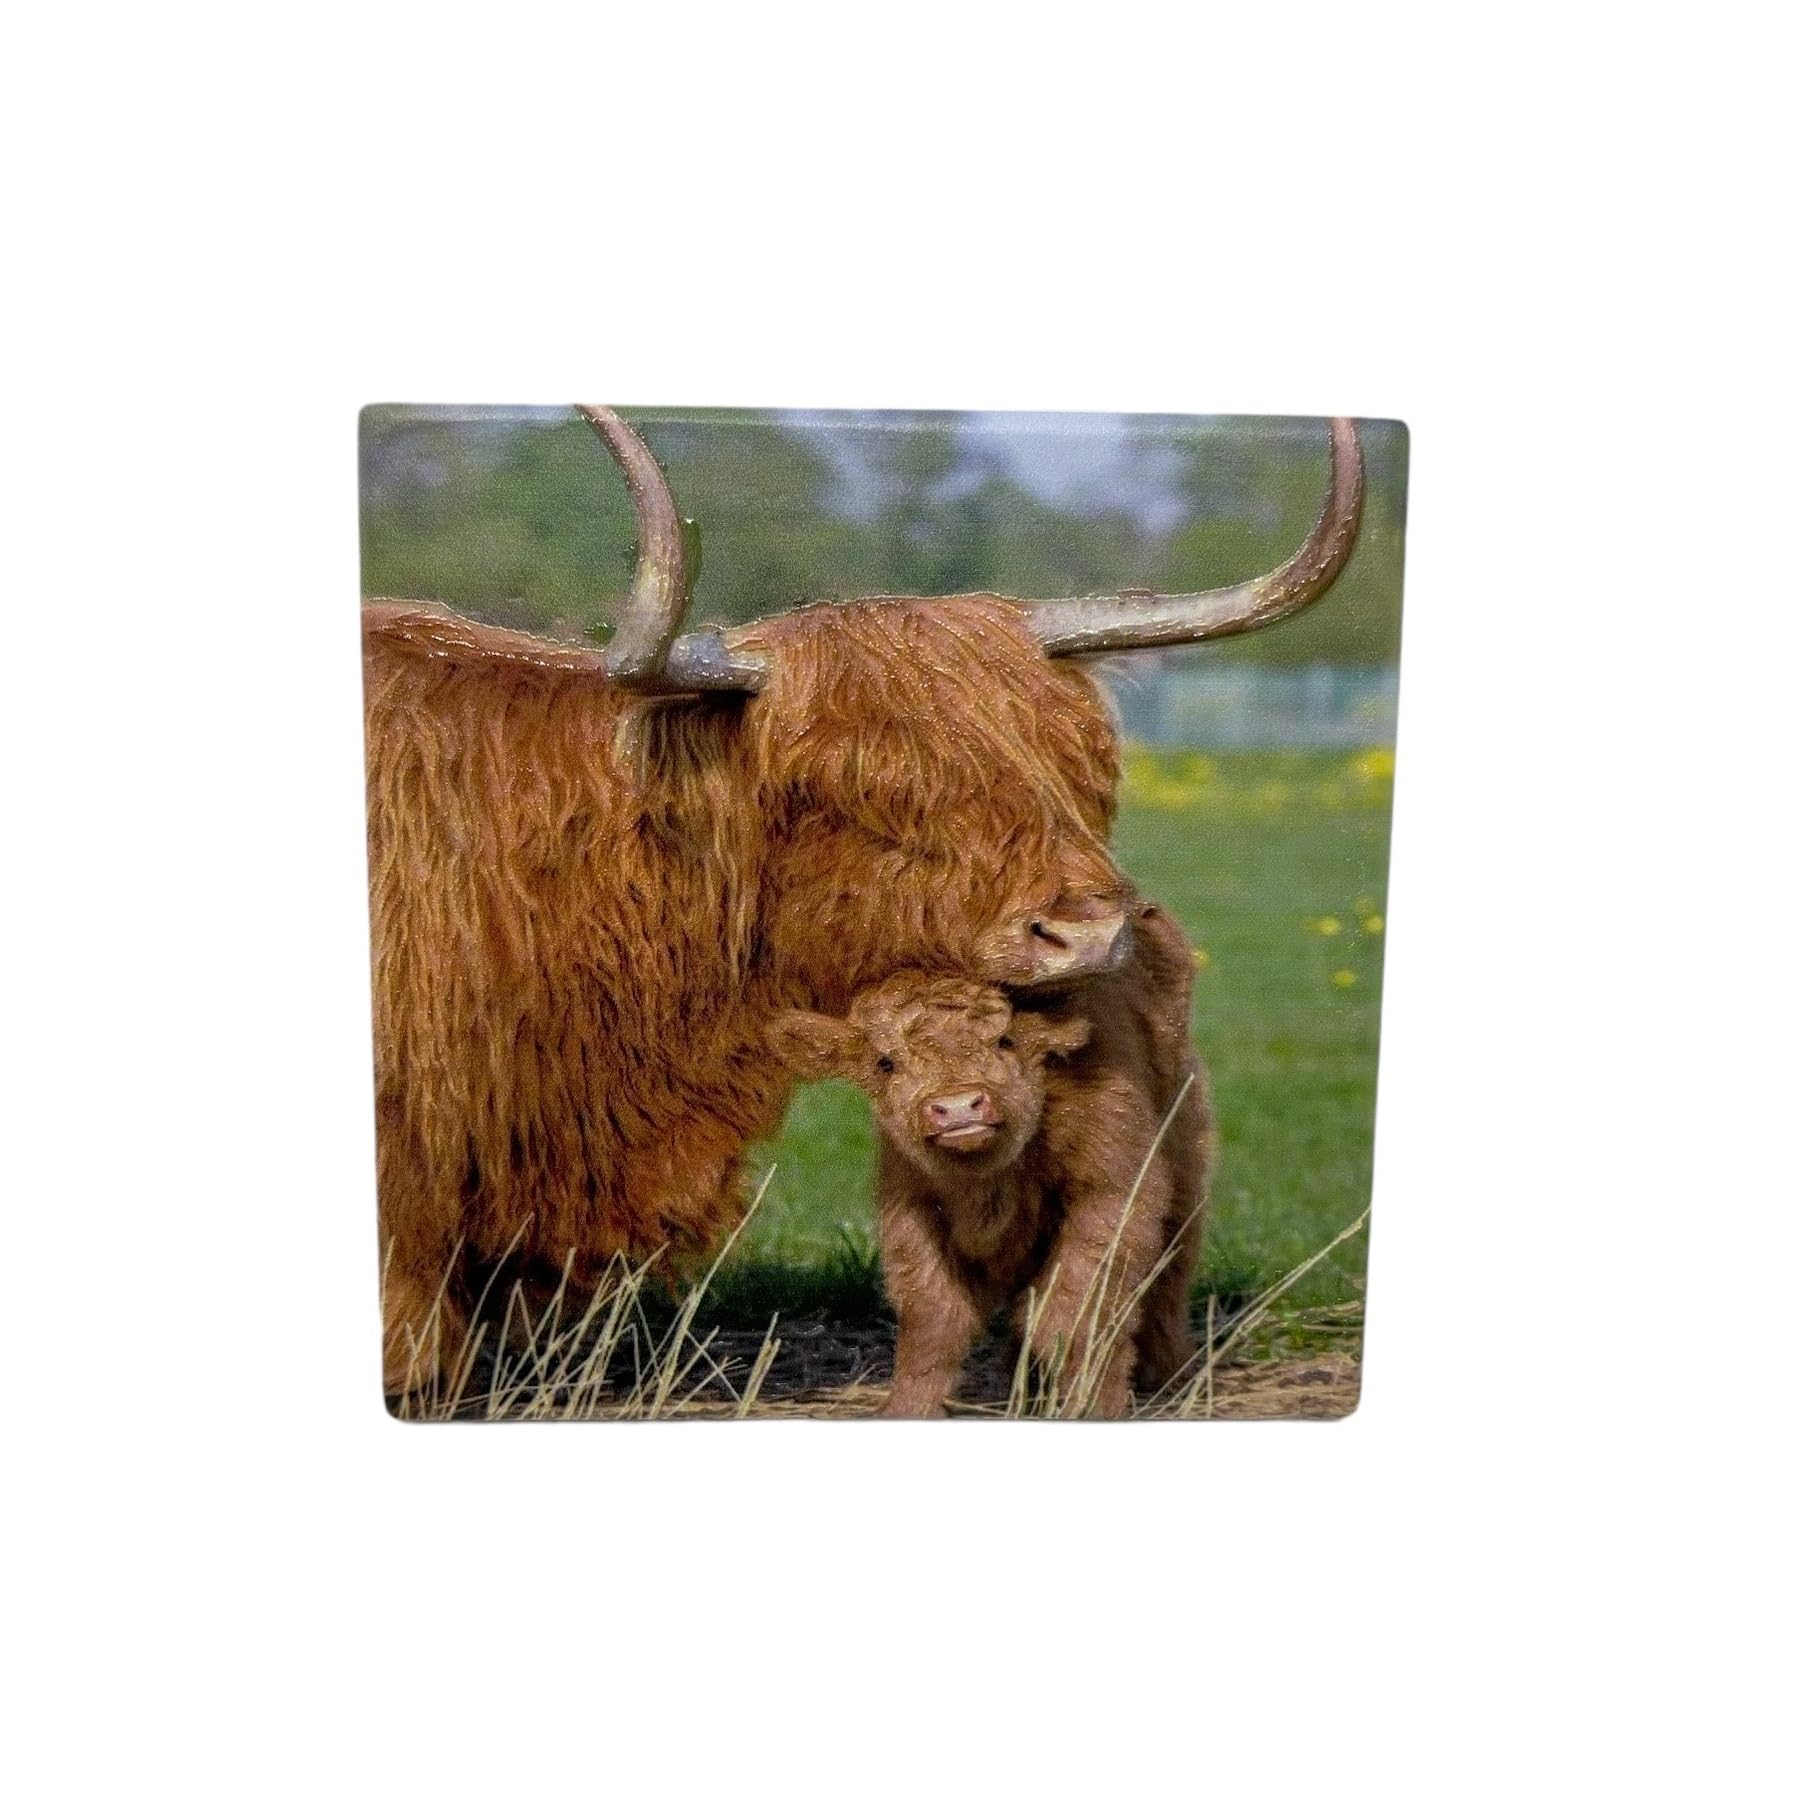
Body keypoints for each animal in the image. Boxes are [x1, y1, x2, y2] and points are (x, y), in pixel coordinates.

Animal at [767, 900, 1213, 1418]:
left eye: (1005, 1041)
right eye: (885, 1062)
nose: (958, 1107)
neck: (989, 1183)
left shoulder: (1114, 1192)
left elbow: (1075, 1312)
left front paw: (1095, 1407)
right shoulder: (912, 1210)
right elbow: (933, 1321)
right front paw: (909, 1408)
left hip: (1185, 1166)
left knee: (1171, 1274)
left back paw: (1171, 1374)